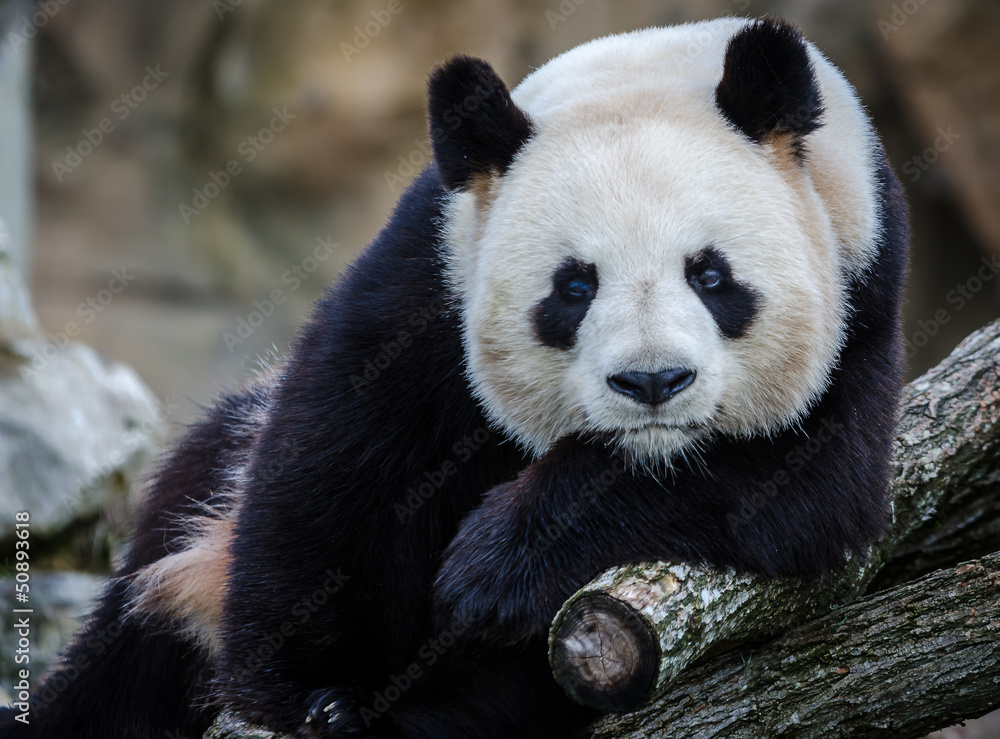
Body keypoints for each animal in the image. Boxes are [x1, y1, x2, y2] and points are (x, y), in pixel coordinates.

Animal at [5, 16, 907, 739]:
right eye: (573, 286)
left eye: (711, 274)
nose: (652, 381)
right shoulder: (431, 269)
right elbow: (340, 465)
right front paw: (314, 693)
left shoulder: (862, 285)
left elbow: (797, 480)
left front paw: (493, 568)